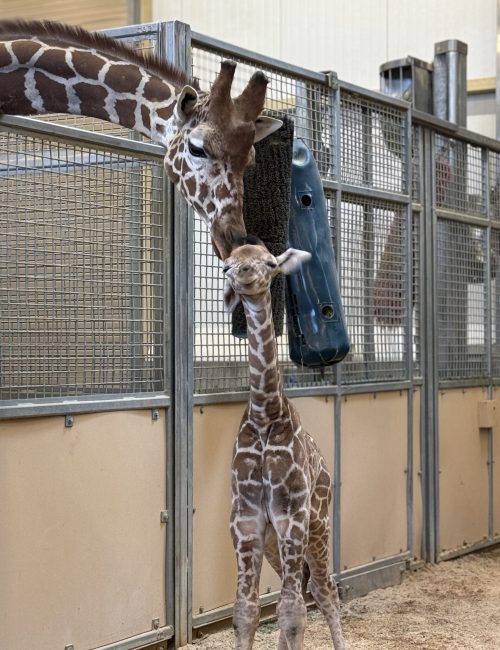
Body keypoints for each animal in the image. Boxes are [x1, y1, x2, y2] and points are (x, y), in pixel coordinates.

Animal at [223, 235, 344, 644]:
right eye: (227, 263)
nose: (243, 273)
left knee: (323, 589)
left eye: (270, 262)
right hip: (278, 542)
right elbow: (246, 612)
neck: (264, 413)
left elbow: (293, 612)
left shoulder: (292, 517)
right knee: (299, 592)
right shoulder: (246, 521)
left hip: (318, 525)